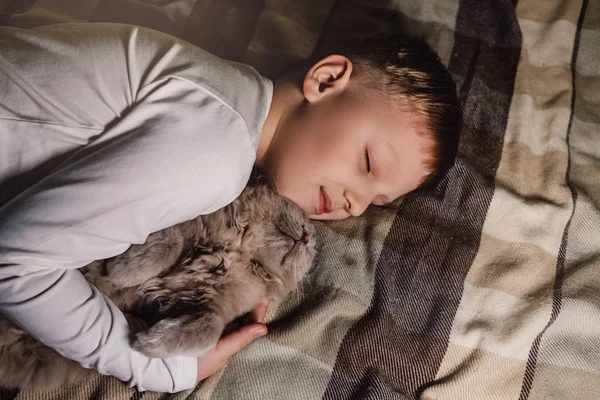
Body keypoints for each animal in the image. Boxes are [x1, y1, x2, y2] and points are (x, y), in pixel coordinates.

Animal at [0, 170, 316, 390]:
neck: (238, 252)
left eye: (311, 243)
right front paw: (123, 271)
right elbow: (170, 241)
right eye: (306, 223)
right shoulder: (176, 221)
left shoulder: (218, 305)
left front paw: (150, 342)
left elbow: (209, 327)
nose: (307, 236)